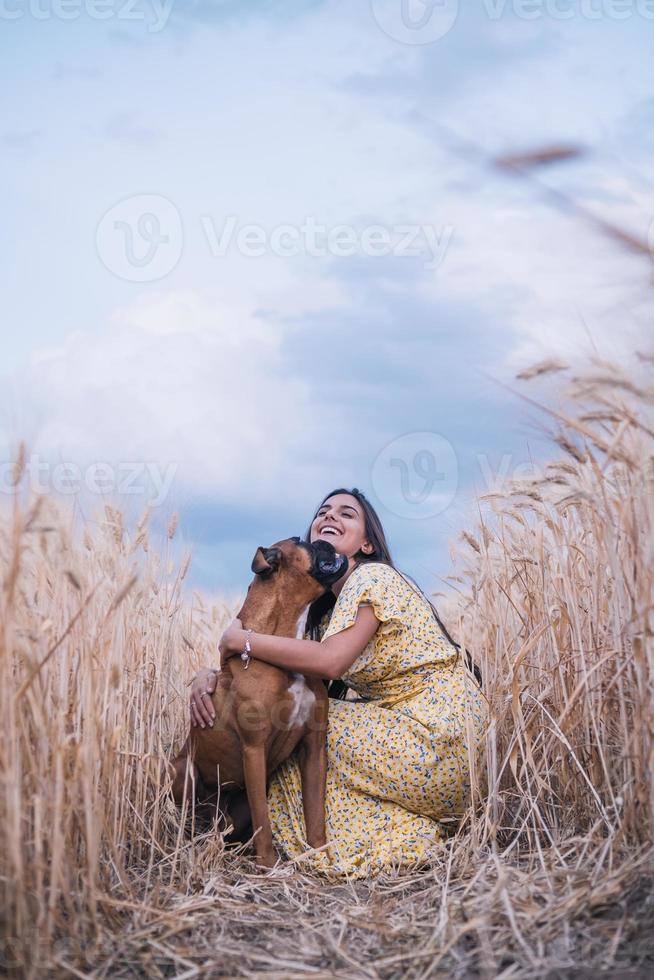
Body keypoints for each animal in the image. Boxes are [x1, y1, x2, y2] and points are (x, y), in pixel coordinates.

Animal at [168, 540, 348, 868]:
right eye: (300, 541)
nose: (324, 541)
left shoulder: (314, 747)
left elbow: (316, 815)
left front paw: (321, 857)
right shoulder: (254, 749)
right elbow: (263, 819)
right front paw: (267, 863)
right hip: (182, 770)